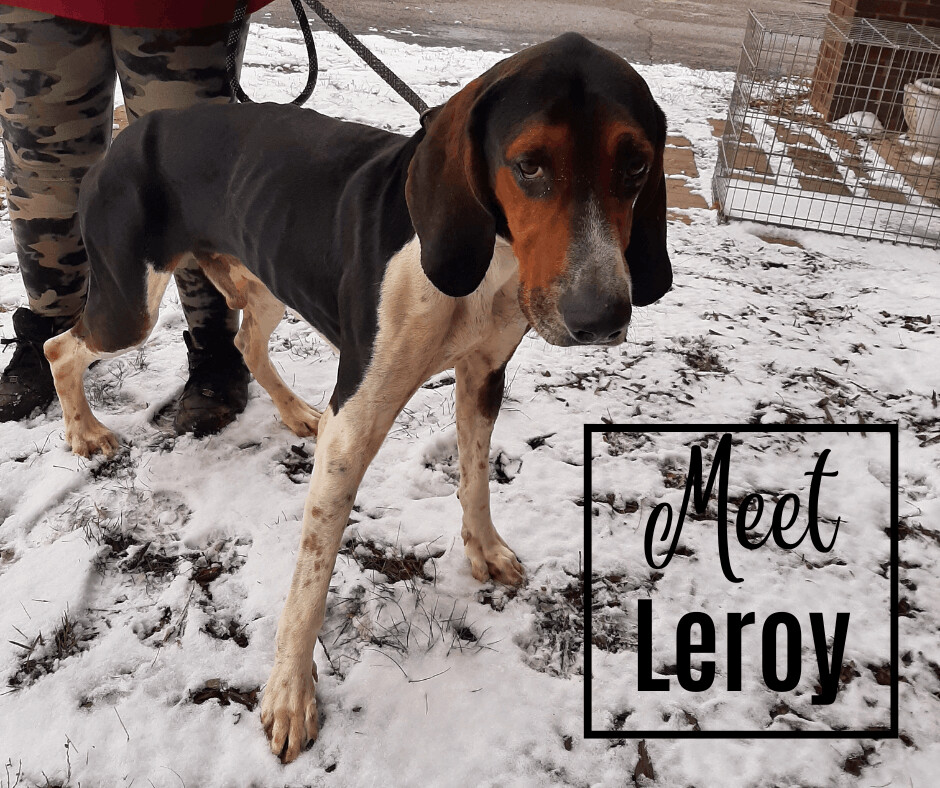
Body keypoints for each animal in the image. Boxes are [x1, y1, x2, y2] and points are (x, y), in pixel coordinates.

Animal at [46, 33, 668, 760]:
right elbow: (312, 574)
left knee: (248, 342)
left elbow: (475, 476)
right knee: (59, 346)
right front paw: (290, 696)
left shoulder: (484, 374)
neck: (487, 260)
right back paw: (84, 431)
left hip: (263, 281)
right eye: (529, 165)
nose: (602, 317)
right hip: (129, 309)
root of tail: (125, 136)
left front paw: (484, 549)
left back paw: (291, 412)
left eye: (636, 165)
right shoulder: (358, 417)